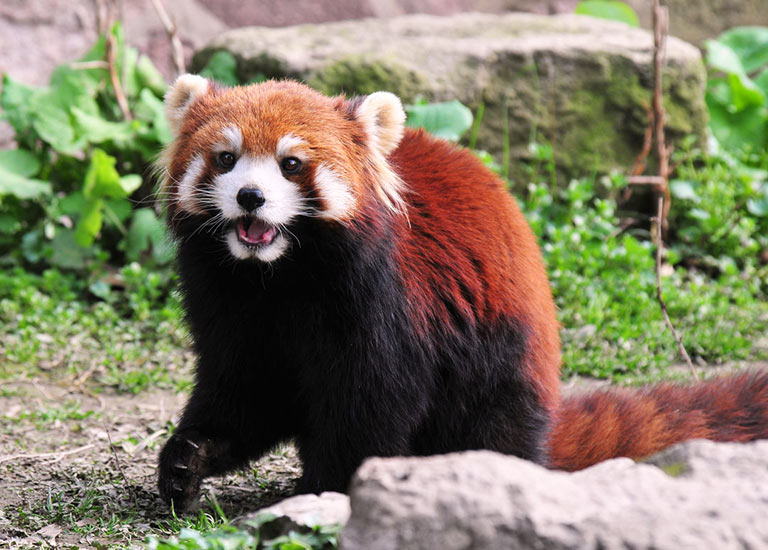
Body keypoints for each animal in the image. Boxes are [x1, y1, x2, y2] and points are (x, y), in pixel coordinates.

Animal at [156, 74, 768, 512]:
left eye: (291, 164)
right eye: (227, 158)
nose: (251, 197)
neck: (278, 276)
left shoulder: (384, 301)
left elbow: (372, 401)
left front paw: (328, 489)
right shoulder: (230, 304)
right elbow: (245, 388)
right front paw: (188, 458)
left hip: (501, 361)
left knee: (491, 426)